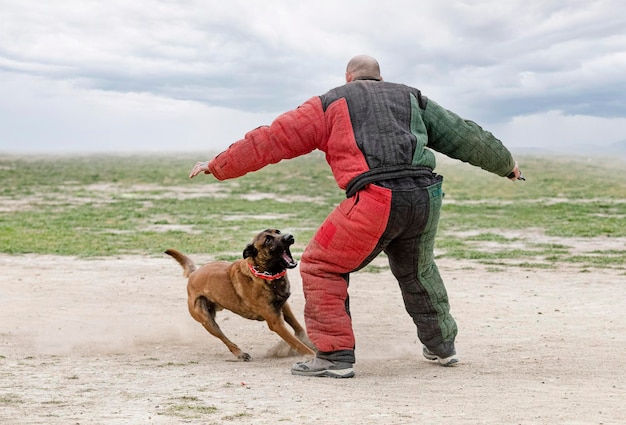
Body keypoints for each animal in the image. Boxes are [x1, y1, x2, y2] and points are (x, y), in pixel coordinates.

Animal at [163, 230, 314, 360]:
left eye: (278, 231)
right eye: (268, 240)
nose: (289, 236)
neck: (266, 275)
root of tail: (194, 273)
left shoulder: (283, 306)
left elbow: (298, 328)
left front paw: (309, 341)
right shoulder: (275, 322)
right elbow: (297, 343)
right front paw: (312, 354)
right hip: (207, 321)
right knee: (224, 338)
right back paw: (239, 353)